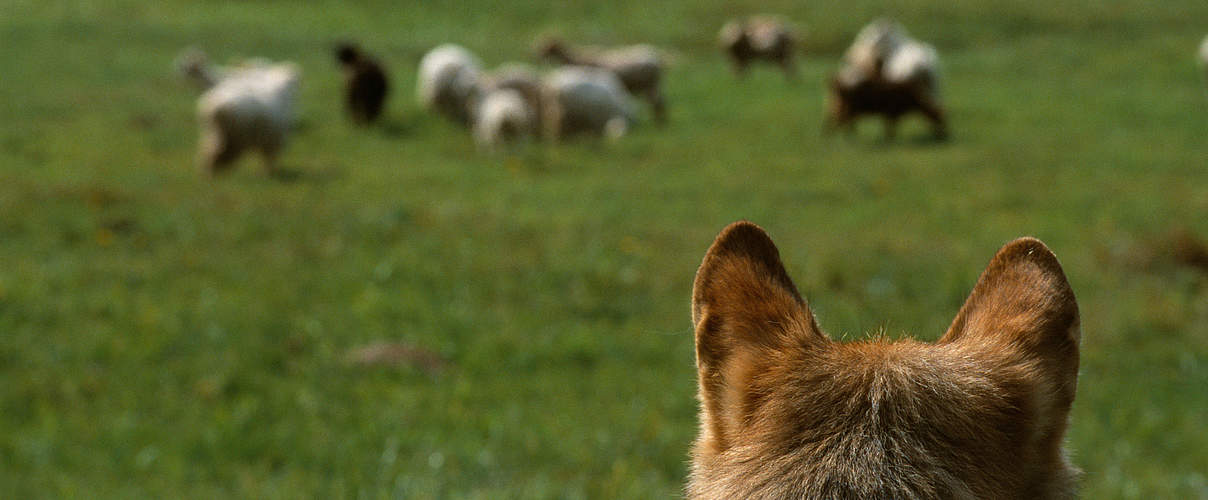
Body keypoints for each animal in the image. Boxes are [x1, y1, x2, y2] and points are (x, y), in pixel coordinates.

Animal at [538, 36, 671, 123]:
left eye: (547, 47)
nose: (536, 54)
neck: (577, 59)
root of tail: (657, 58)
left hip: (650, 84)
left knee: (657, 102)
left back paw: (660, 121)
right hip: (652, 85)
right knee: (659, 102)